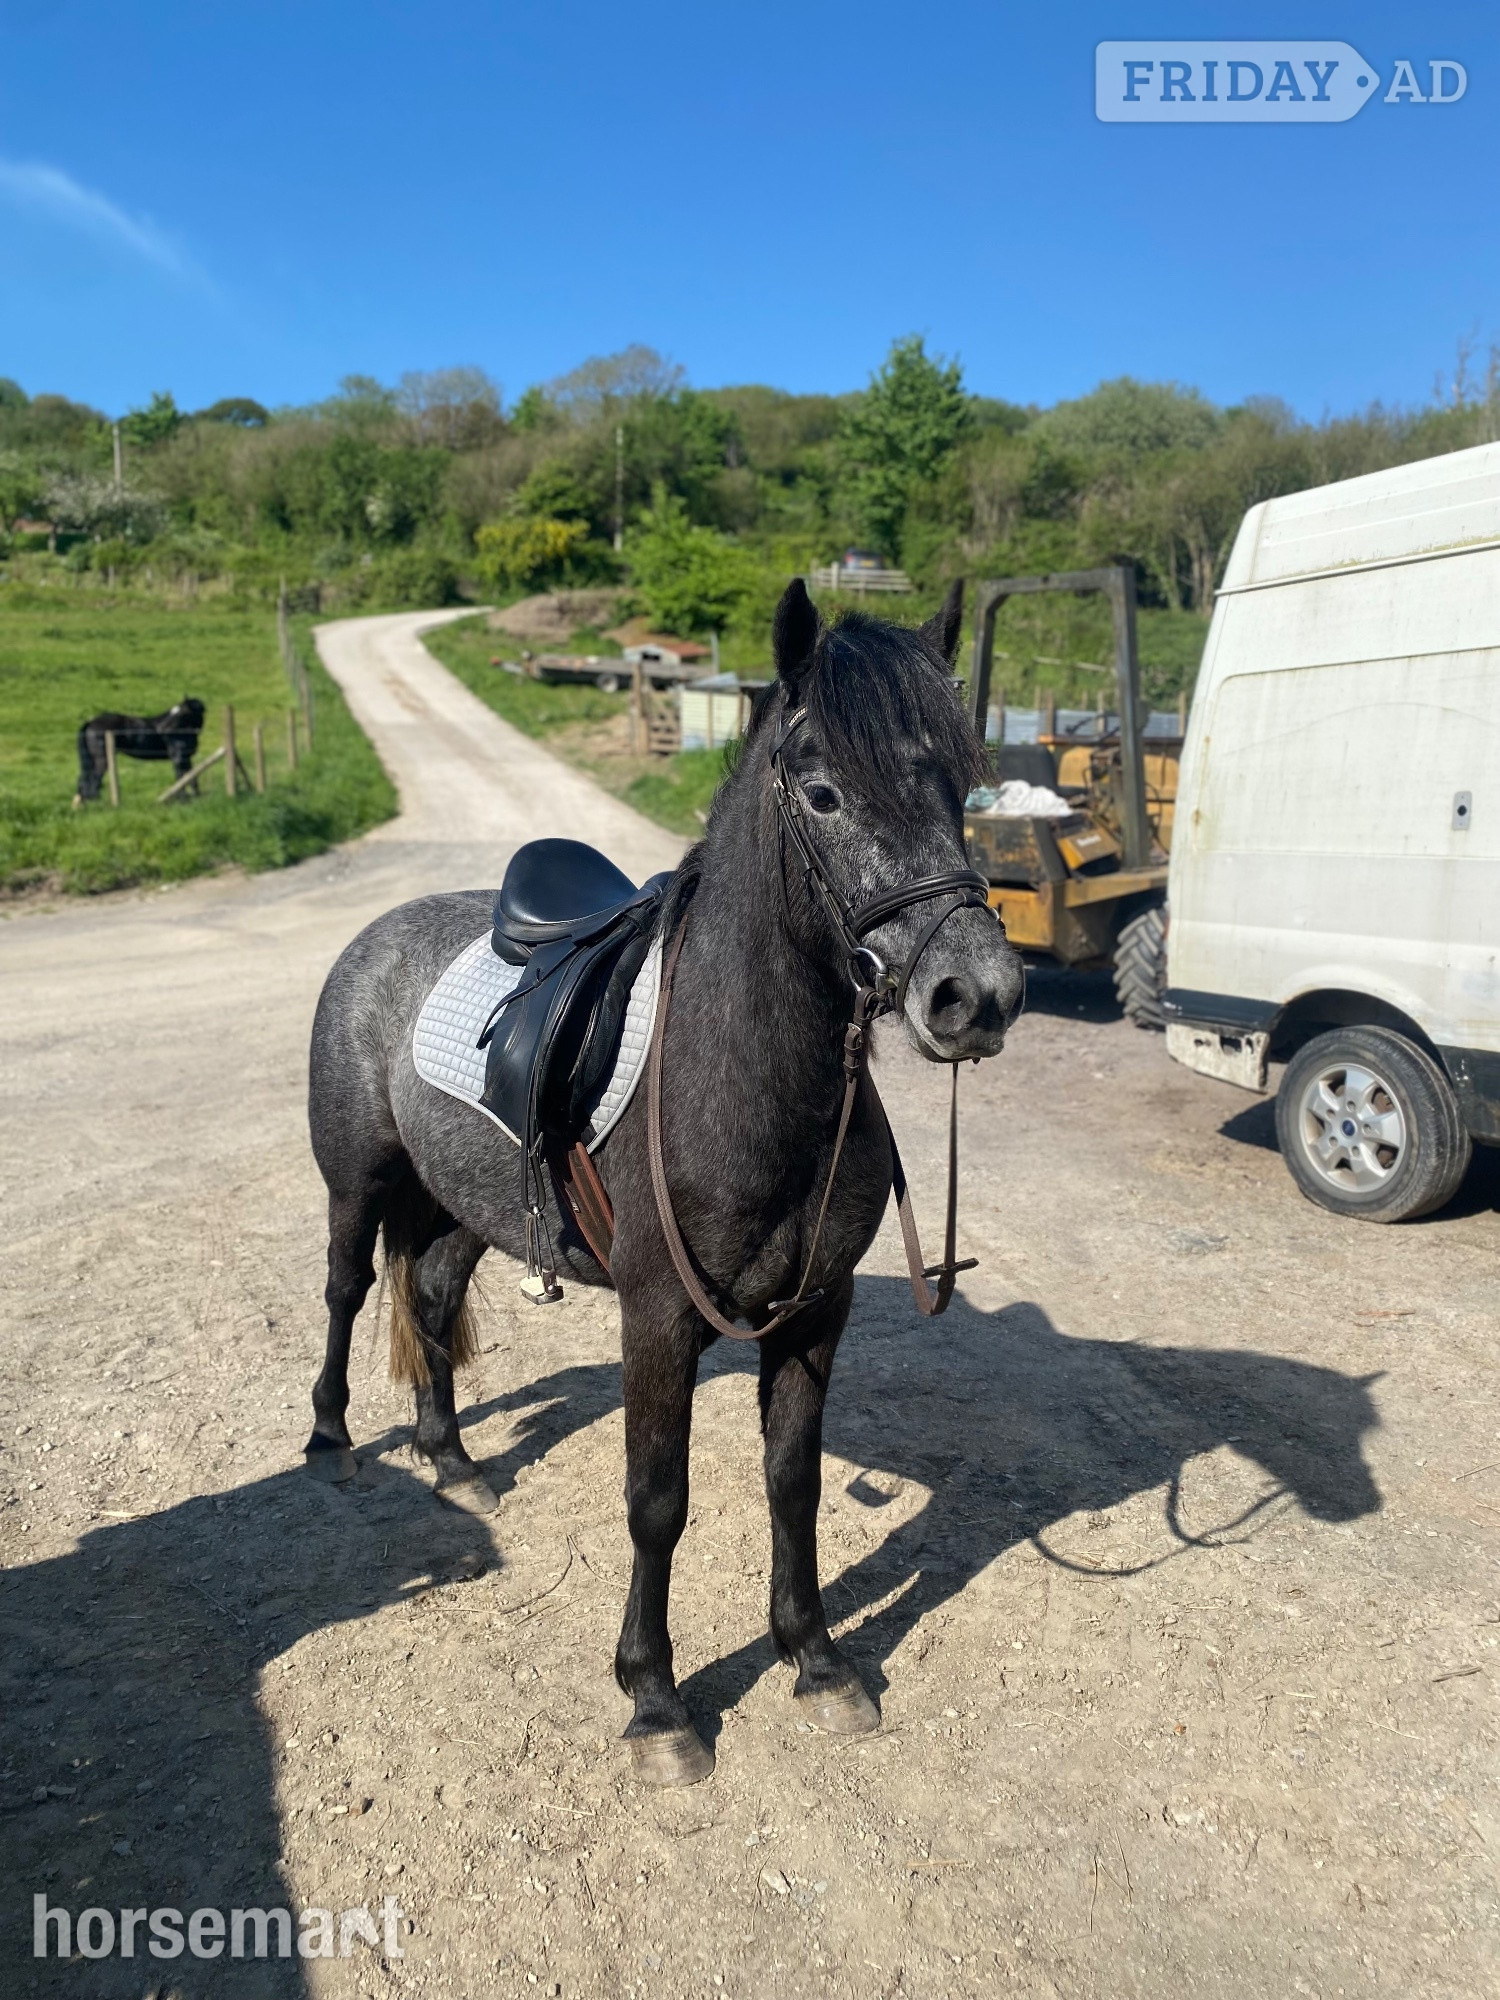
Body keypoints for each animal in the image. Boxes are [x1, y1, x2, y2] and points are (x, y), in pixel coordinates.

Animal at [74, 697, 205, 804]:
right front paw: (183, 799)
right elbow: (181, 778)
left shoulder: (186, 758)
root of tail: (91, 722)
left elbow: (191, 777)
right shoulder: (178, 758)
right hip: (102, 759)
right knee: (94, 781)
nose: (161, 729)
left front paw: (196, 796)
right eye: (175, 711)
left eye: (182, 713)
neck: (182, 733)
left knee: (84, 780)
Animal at [304, 579, 1025, 1785]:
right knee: (349, 1292)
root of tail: (381, 933)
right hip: (357, 1186)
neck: (736, 1074)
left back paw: (451, 1459)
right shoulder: (658, 1318)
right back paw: (332, 1443)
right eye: (823, 792)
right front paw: (654, 1700)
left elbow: (793, 1481)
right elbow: (657, 1501)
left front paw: (815, 1658)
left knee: (433, 1297)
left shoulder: (813, 1314)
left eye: (958, 786)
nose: (980, 995)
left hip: (467, 1208)